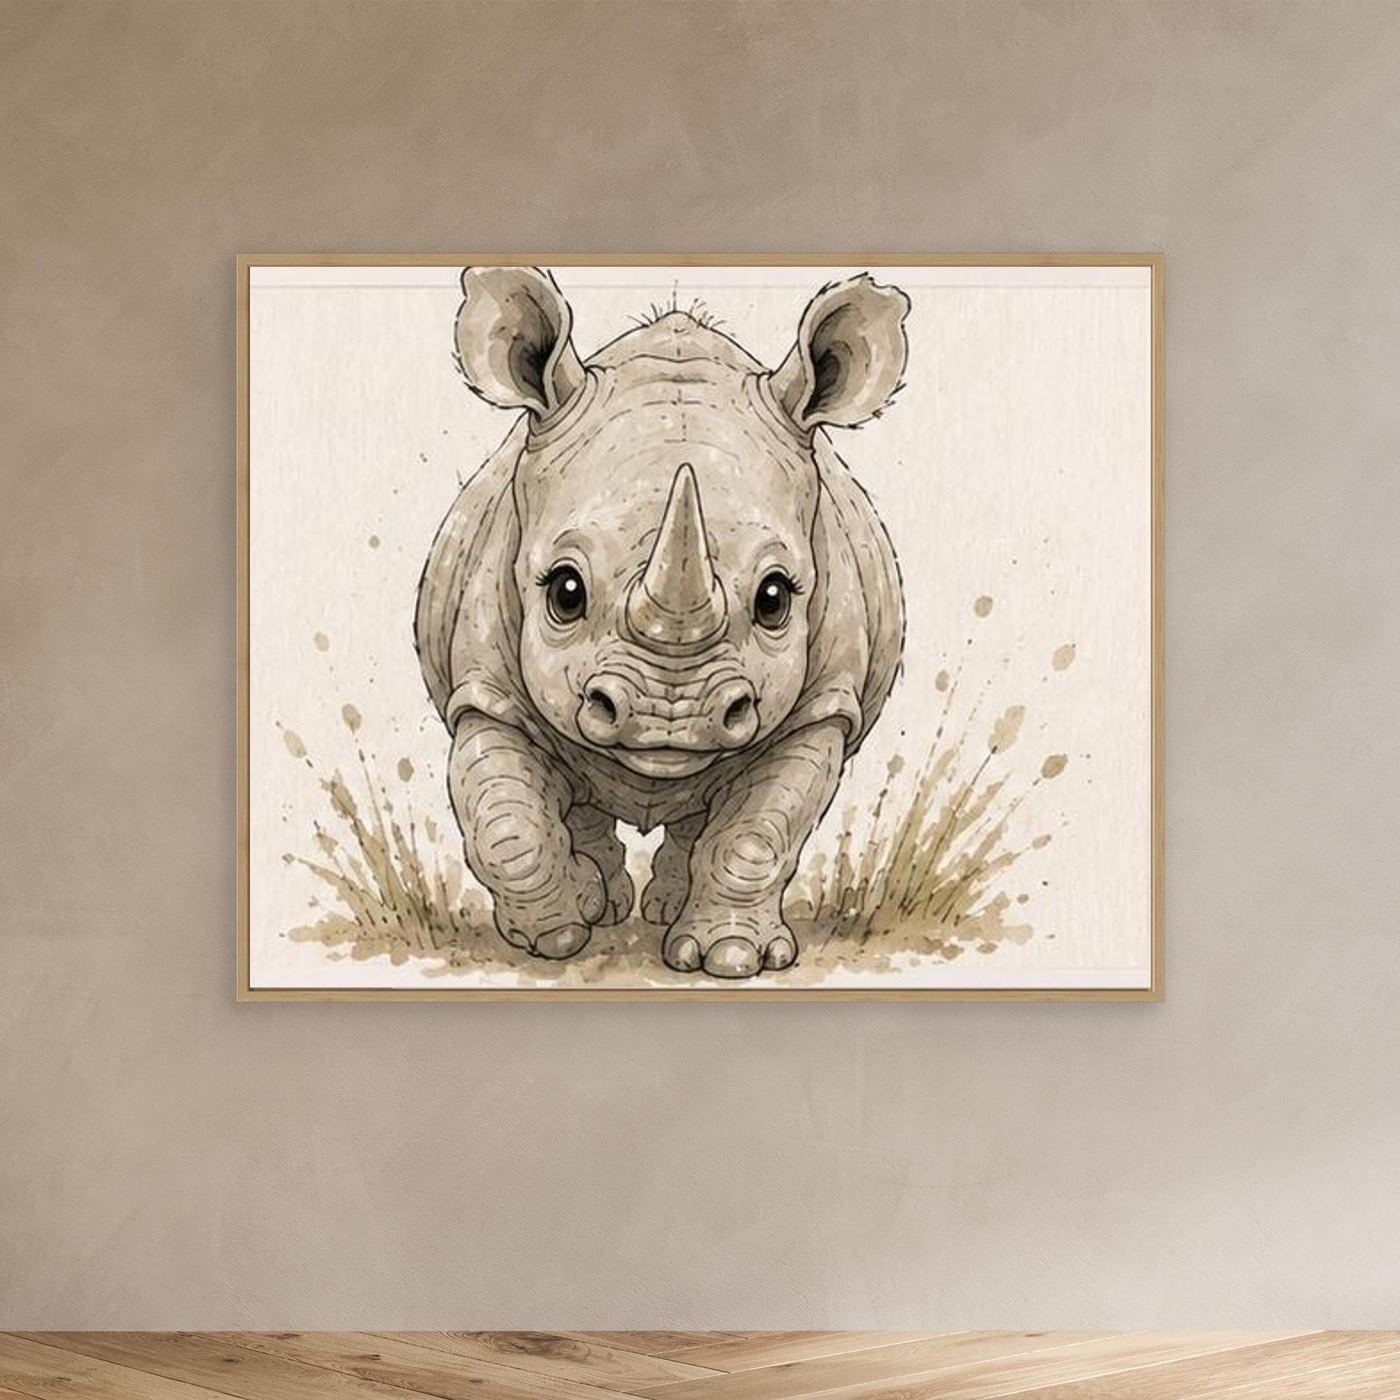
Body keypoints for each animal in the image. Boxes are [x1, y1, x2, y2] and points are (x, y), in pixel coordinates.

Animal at [416, 266, 908, 979]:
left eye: (775, 598)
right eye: (565, 591)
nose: (668, 718)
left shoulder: (823, 704)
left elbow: (757, 833)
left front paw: (730, 958)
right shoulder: (487, 688)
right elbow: (508, 825)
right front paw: (555, 937)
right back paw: (602, 903)